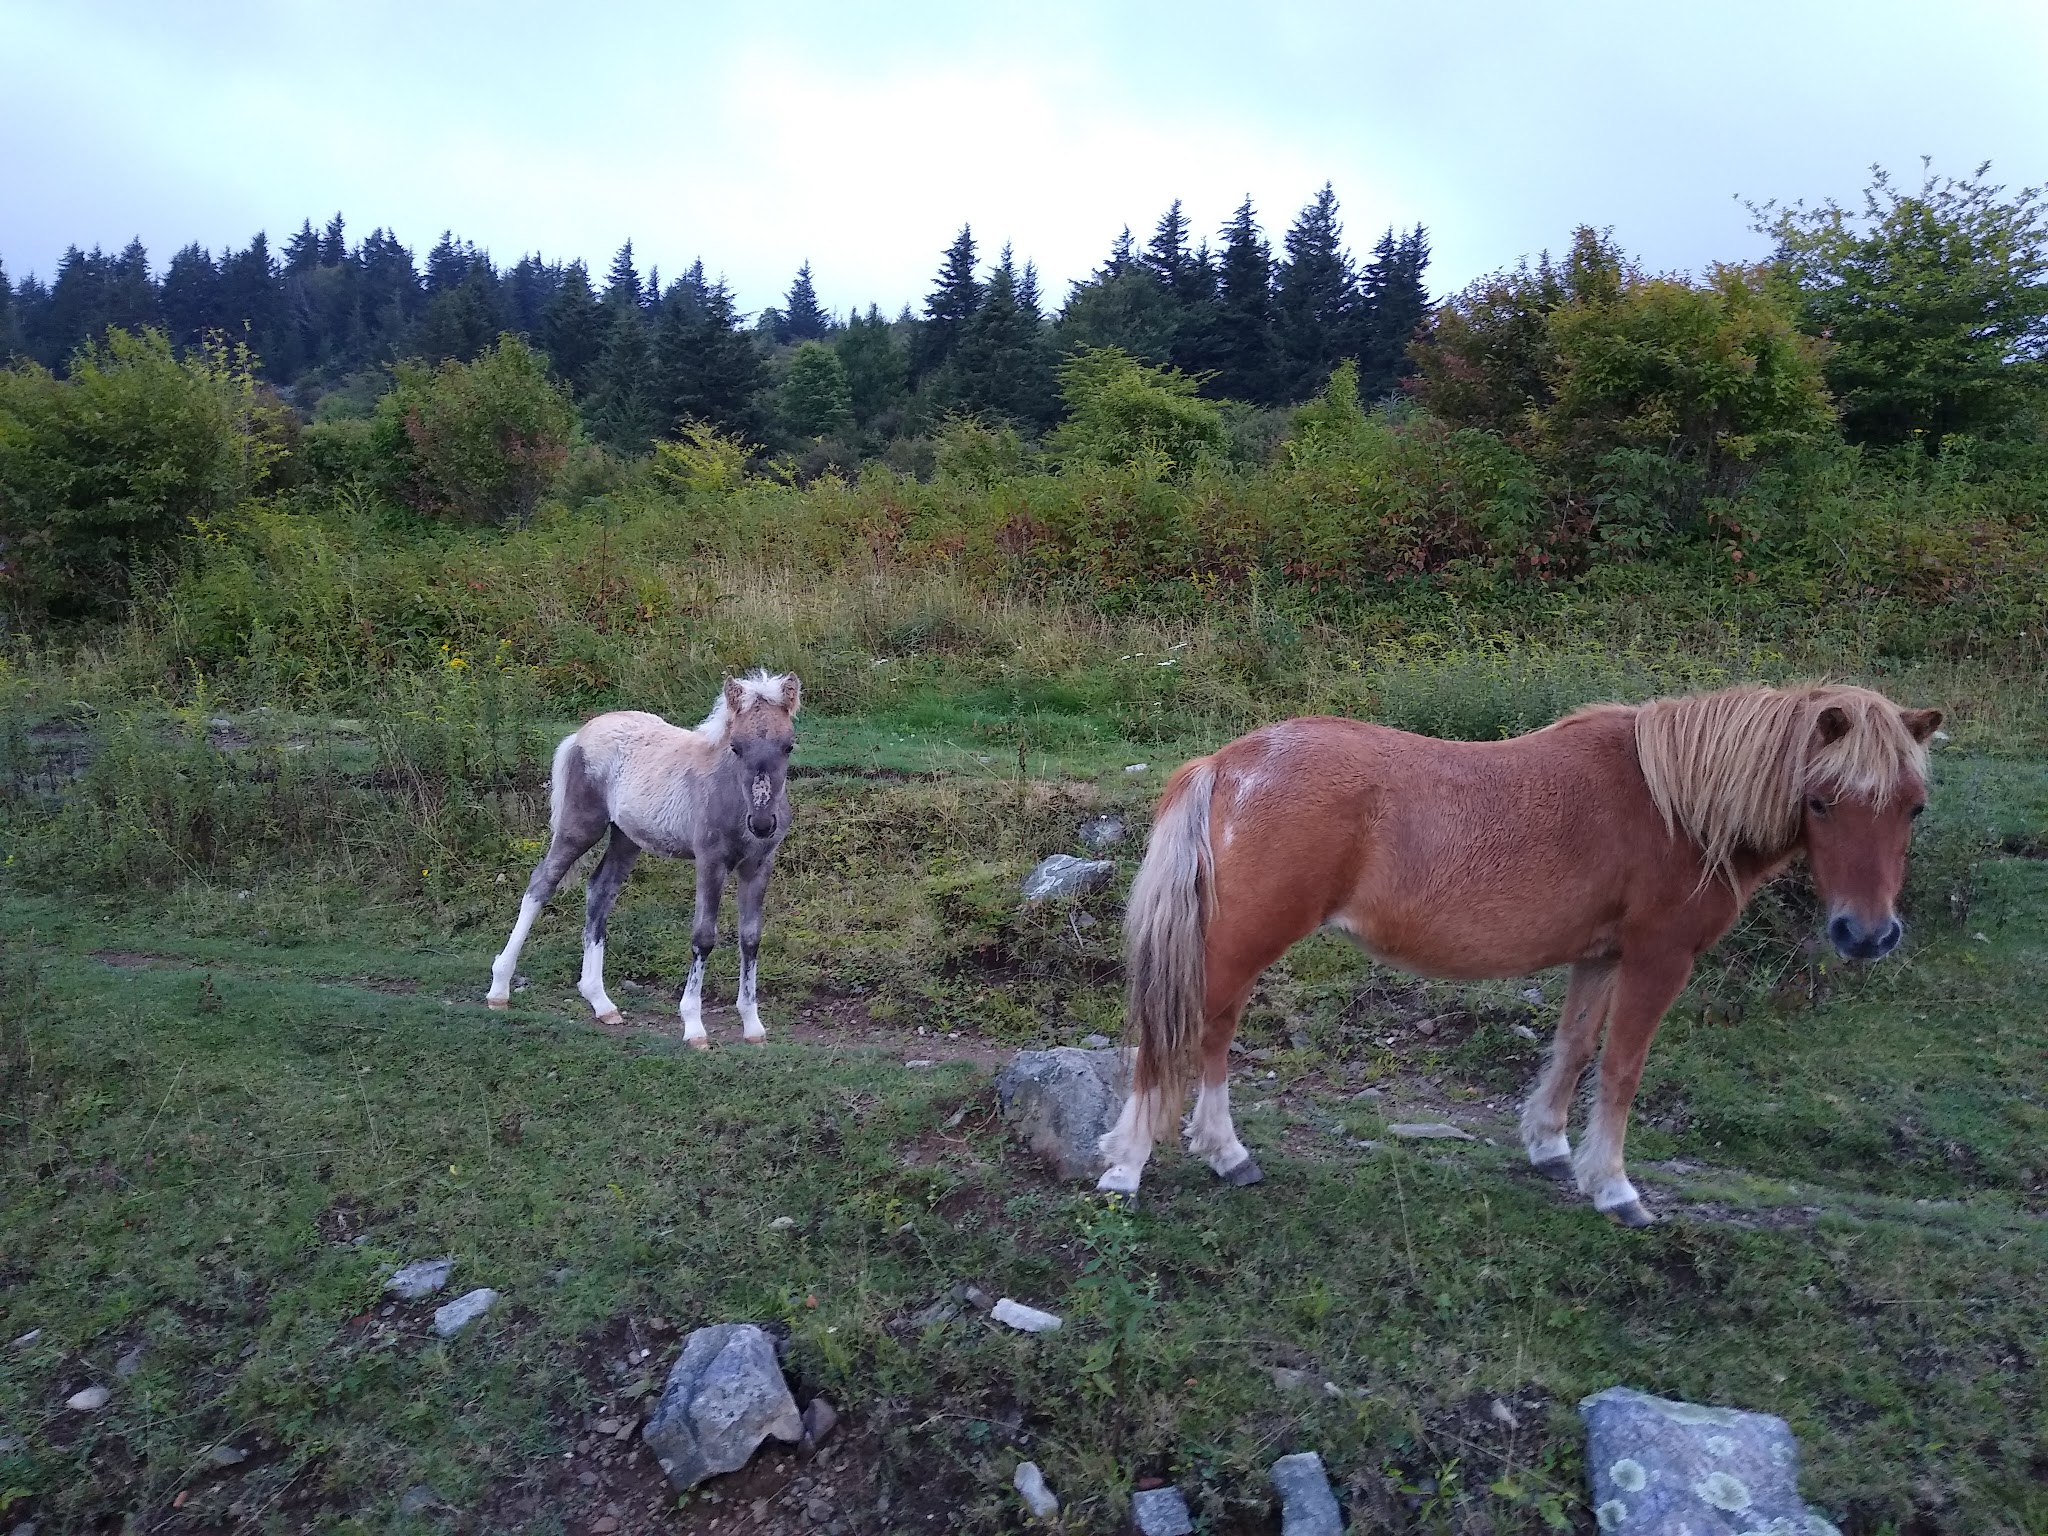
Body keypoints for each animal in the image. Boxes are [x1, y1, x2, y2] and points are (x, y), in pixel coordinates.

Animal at [486, 671, 801, 1049]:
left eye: (788, 746)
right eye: (736, 747)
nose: (763, 823)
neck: (732, 796)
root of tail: (580, 734)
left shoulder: (758, 865)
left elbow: (750, 938)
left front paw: (753, 1026)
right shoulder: (710, 861)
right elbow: (703, 937)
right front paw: (693, 1027)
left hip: (626, 838)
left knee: (600, 891)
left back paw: (601, 1002)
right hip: (580, 827)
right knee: (541, 884)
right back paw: (499, 988)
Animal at [1095, 683, 1942, 1225]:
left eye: (1913, 807)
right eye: (1822, 801)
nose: (1867, 934)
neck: (1676, 808)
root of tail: (1229, 763)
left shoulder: (1601, 956)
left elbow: (1573, 1048)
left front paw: (1550, 1146)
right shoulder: (1659, 958)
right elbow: (1623, 1068)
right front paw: (1615, 1188)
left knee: (1212, 1033)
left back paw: (1222, 1153)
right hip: (1244, 939)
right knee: (1180, 1036)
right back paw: (1129, 1163)